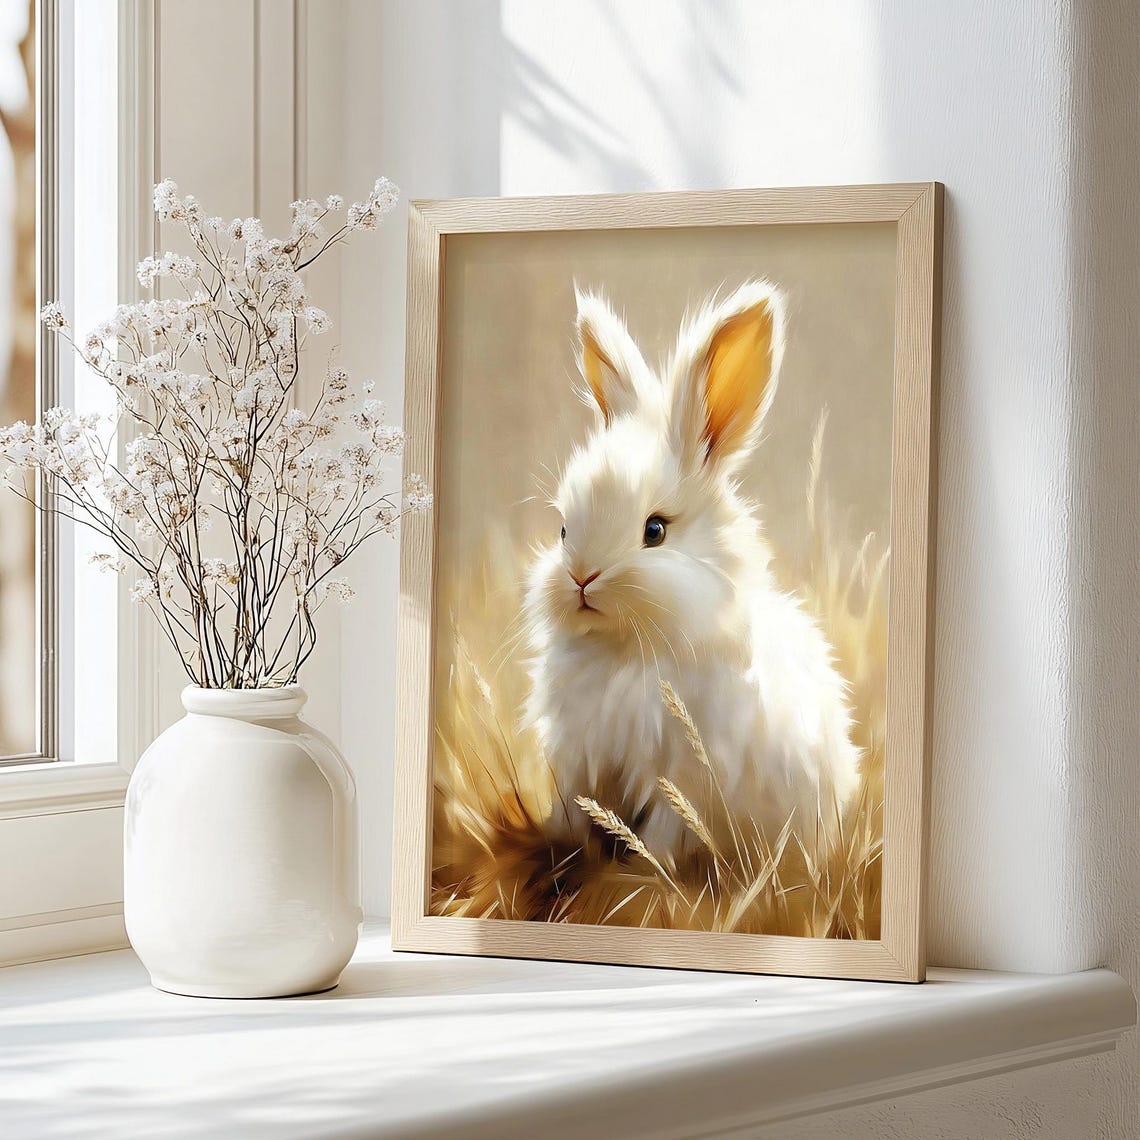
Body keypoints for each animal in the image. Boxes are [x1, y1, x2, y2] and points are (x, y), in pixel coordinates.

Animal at [523, 280, 861, 859]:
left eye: (655, 531)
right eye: (564, 530)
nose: (582, 577)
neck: (626, 651)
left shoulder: (683, 775)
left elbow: (667, 827)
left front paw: (645, 868)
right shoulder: (580, 759)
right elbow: (575, 809)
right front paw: (562, 843)